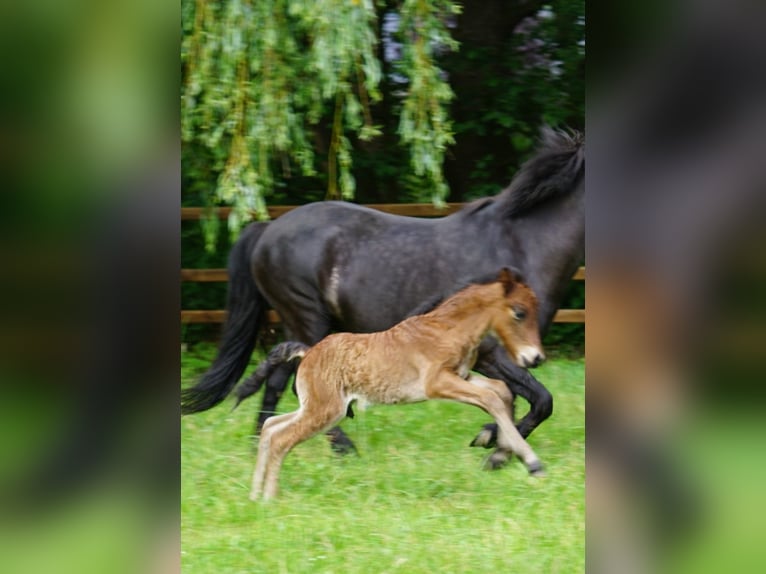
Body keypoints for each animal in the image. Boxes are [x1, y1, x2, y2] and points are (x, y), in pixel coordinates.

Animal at [181, 127, 584, 456]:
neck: (519, 244)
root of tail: (267, 229)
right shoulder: (493, 351)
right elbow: (540, 399)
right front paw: (494, 445)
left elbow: (517, 399)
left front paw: (493, 440)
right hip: (307, 318)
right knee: (295, 382)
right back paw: (340, 447)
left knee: (280, 379)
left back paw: (262, 443)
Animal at [245, 269, 545, 500]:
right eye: (519, 313)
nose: (535, 357)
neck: (445, 329)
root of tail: (307, 353)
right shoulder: (437, 383)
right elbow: (492, 398)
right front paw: (532, 463)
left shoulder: (462, 376)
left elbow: (501, 392)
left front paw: (499, 451)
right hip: (326, 411)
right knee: (281, 438)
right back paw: (269, 498)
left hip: (315, 407)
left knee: (271, 427)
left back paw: (255, 494)